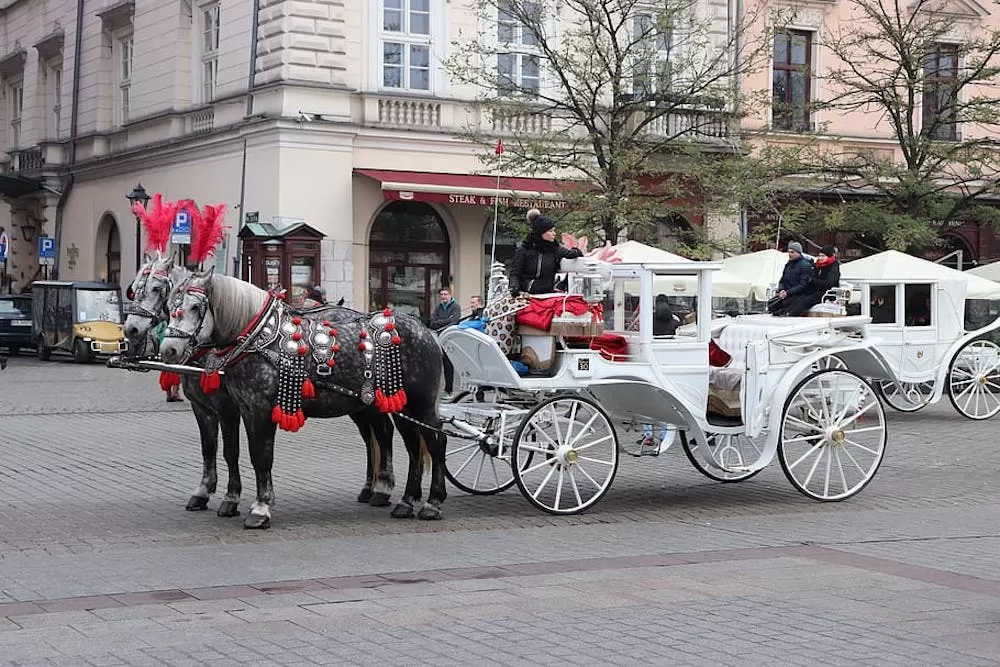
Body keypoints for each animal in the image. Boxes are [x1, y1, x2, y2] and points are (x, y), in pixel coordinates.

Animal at [158, 266, 448, 528]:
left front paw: (260, 508)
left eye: (196, 307)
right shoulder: (239, 409)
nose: (169, 349)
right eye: (170, 305)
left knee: (435, 442)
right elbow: (230, 452)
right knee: (410, 445)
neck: (259, 339)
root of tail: (427, 331)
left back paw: (431, 503)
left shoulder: (254, 410)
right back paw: (405, 501)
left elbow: (259, 456)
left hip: (420, 404)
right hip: (401, 407)